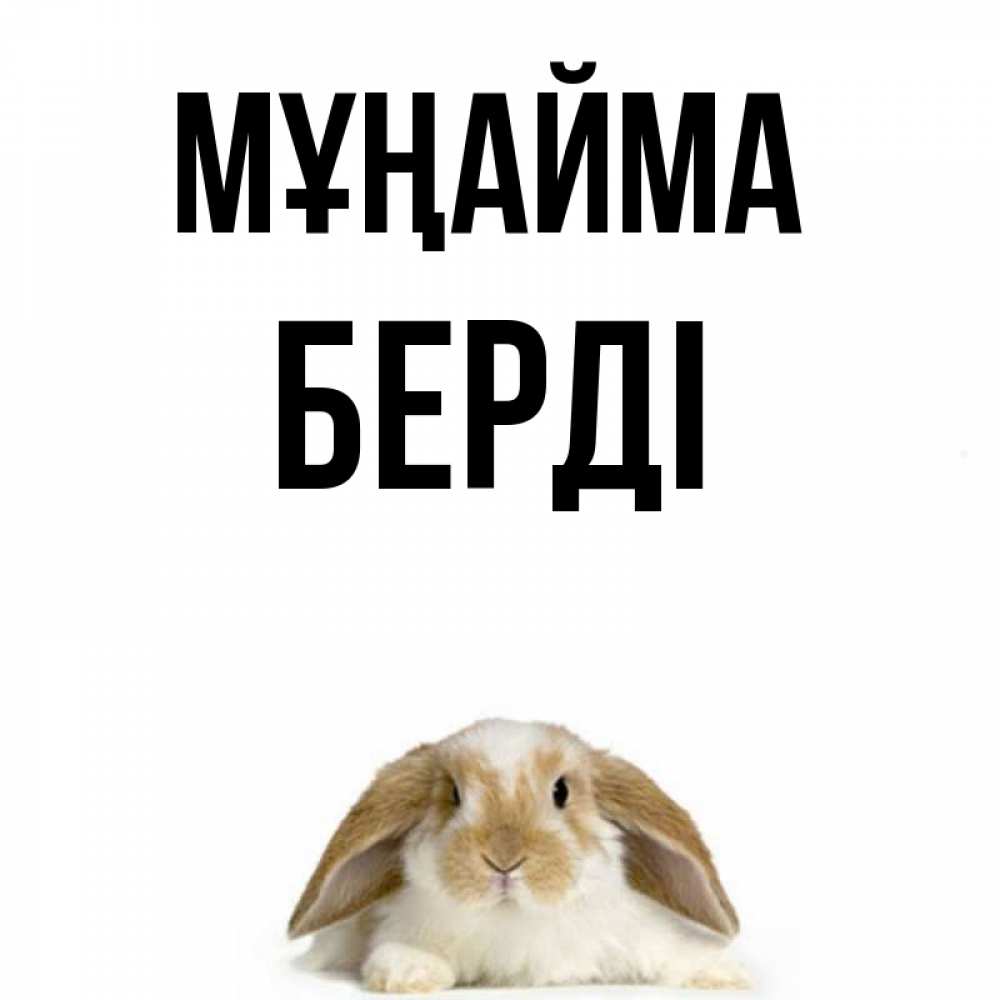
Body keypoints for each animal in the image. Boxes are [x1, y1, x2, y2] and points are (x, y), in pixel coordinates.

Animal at [288, 719, 750, 991]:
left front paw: (725, 973)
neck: (514, 919)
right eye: (453, 795)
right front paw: (410, 973)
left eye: (561, 791)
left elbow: (674, 950)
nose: (504, 859)